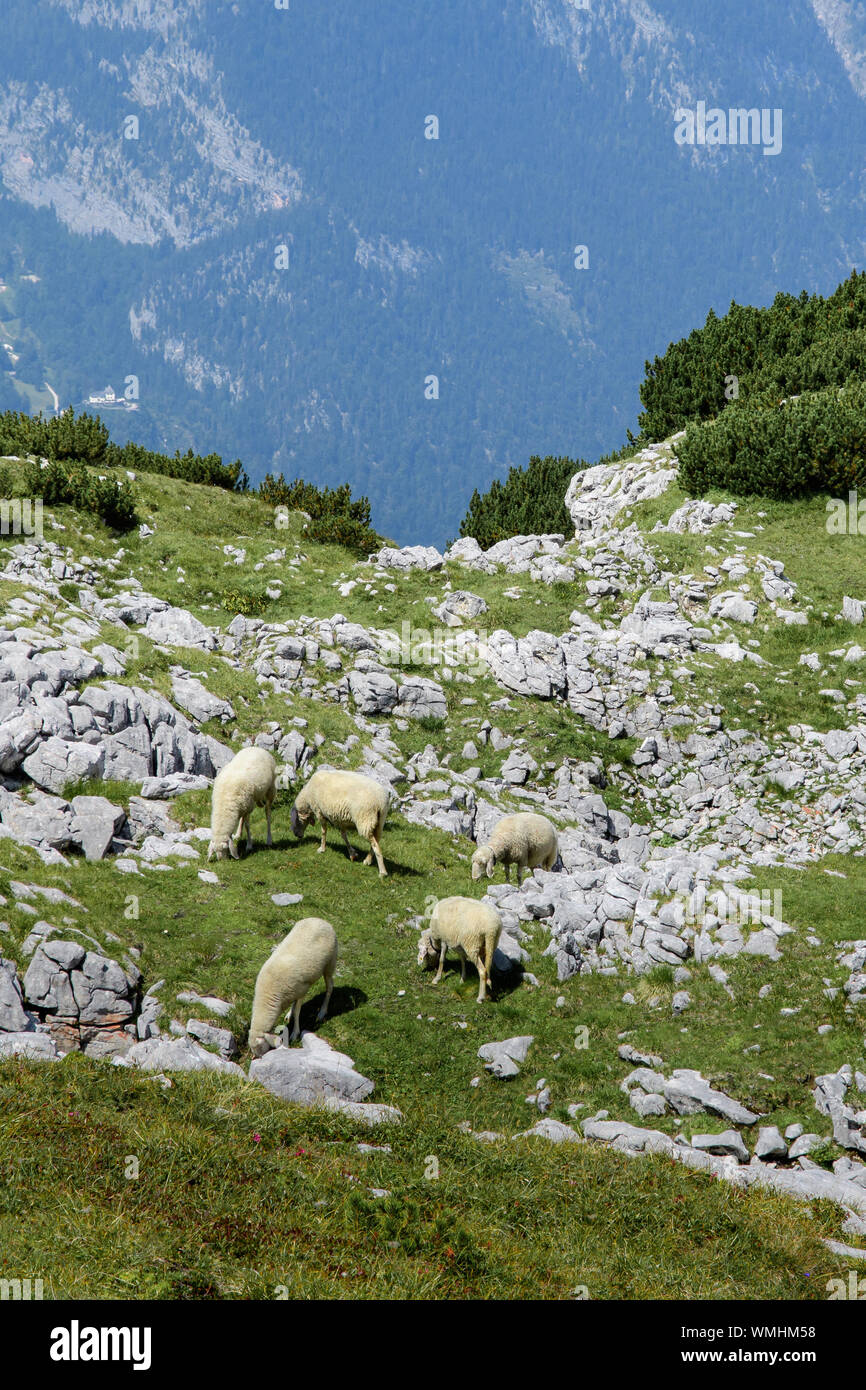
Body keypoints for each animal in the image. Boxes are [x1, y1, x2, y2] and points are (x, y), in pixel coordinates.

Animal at [248, 916, 339, 1056]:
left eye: (260, 1046)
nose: (258, 1058)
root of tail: (321, 920)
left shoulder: (302, 989)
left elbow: (297, 1012)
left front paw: (295, 1033)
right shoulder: (292, 991)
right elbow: (294, 1006)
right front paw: (289, 1014)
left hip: (329, 964)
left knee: (330, 987)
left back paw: (322, 1012)